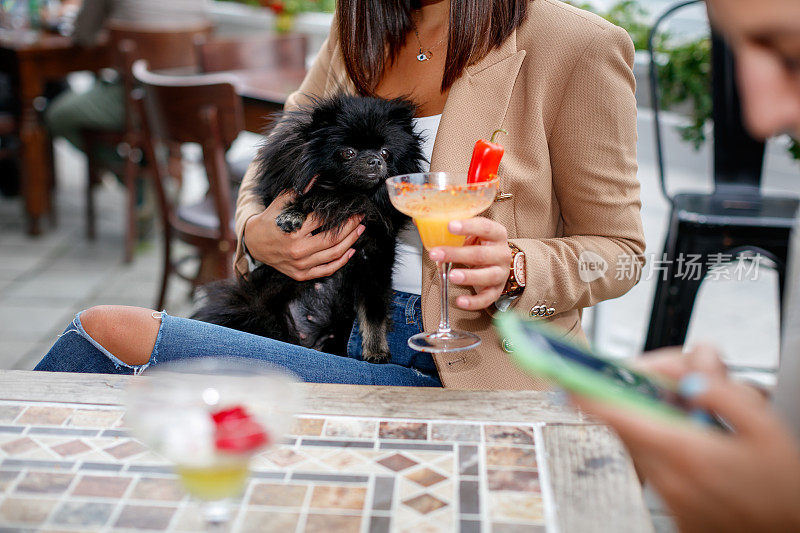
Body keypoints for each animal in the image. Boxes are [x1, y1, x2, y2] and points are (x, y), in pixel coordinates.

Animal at [192, 94, 424, 362]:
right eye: (348, 152)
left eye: (386, 153)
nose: (374, 160)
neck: (353, 195)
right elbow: (311, 196)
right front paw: (294, 213)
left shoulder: (374, 259)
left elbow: (374, 310)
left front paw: (376, 349)